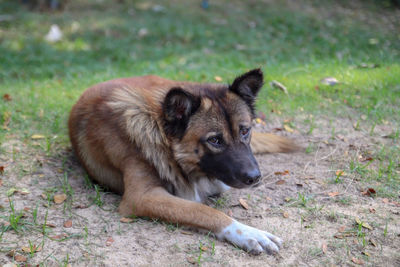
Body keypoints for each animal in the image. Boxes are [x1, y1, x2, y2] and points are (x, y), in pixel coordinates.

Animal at [69, 69, 298, 255]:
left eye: (244, 131)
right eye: (215, 140)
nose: (254, 177)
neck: (160, 132)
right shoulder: (141, 198)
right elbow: (204, 211)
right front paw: (249, 233)